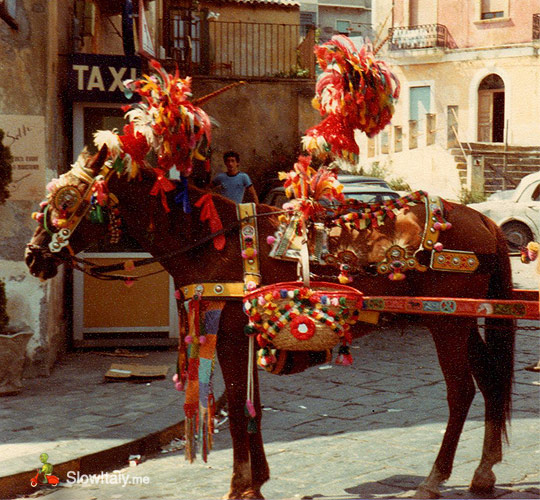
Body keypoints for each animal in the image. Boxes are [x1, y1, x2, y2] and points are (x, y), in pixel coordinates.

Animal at [27, 38, 516, 496]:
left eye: (66, 200)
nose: (33, 255)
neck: (211, 241)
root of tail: (483, 221)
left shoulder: (227, 337)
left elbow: (238, 406)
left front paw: (240, 484)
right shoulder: (244, 338)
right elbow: (251, 408)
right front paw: (255, 479)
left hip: (447, 323)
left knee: (461, 391)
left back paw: (435, 478)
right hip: (462, 319)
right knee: (490, 380)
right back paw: (484, 471)